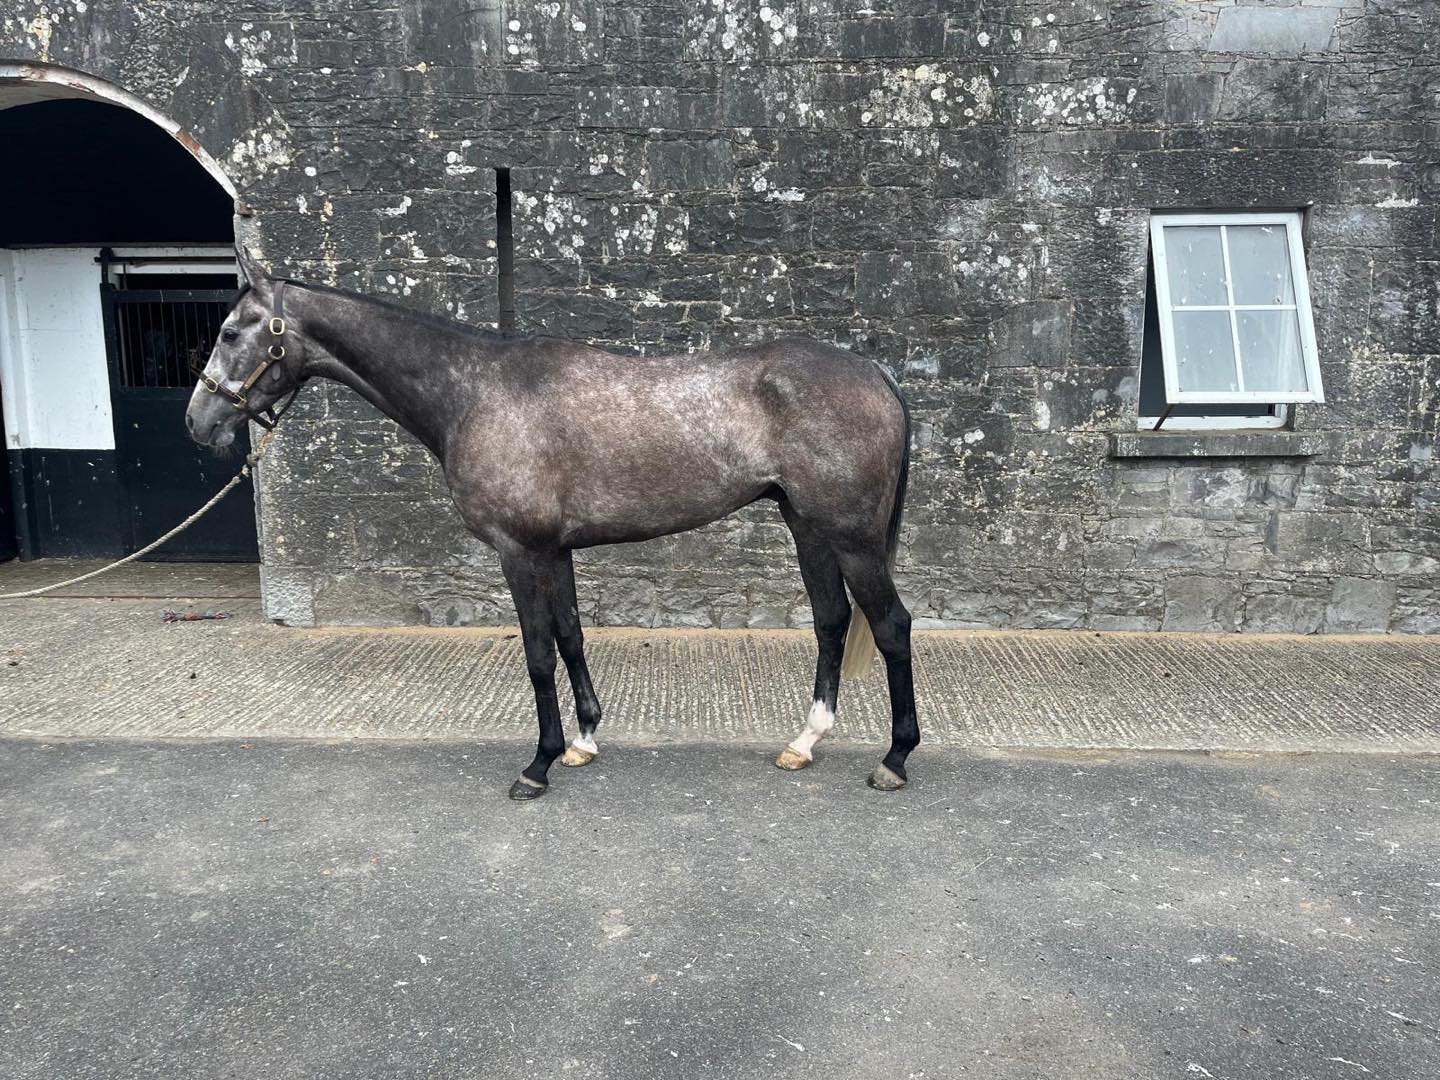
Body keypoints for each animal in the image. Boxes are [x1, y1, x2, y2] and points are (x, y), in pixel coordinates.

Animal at [187, 248, 917, 800]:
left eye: (231, 332)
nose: (197, 421)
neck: (474, 391)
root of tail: (874, 373)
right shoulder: (555, 550)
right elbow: (570, 638)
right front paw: (584, 741)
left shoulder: (518, 552)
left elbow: (537, 654)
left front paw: (537, 765)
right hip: (807, 526)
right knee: (831, 620)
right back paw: (804, 742)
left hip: (852, 538)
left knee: (890, 625)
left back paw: (894, 759)